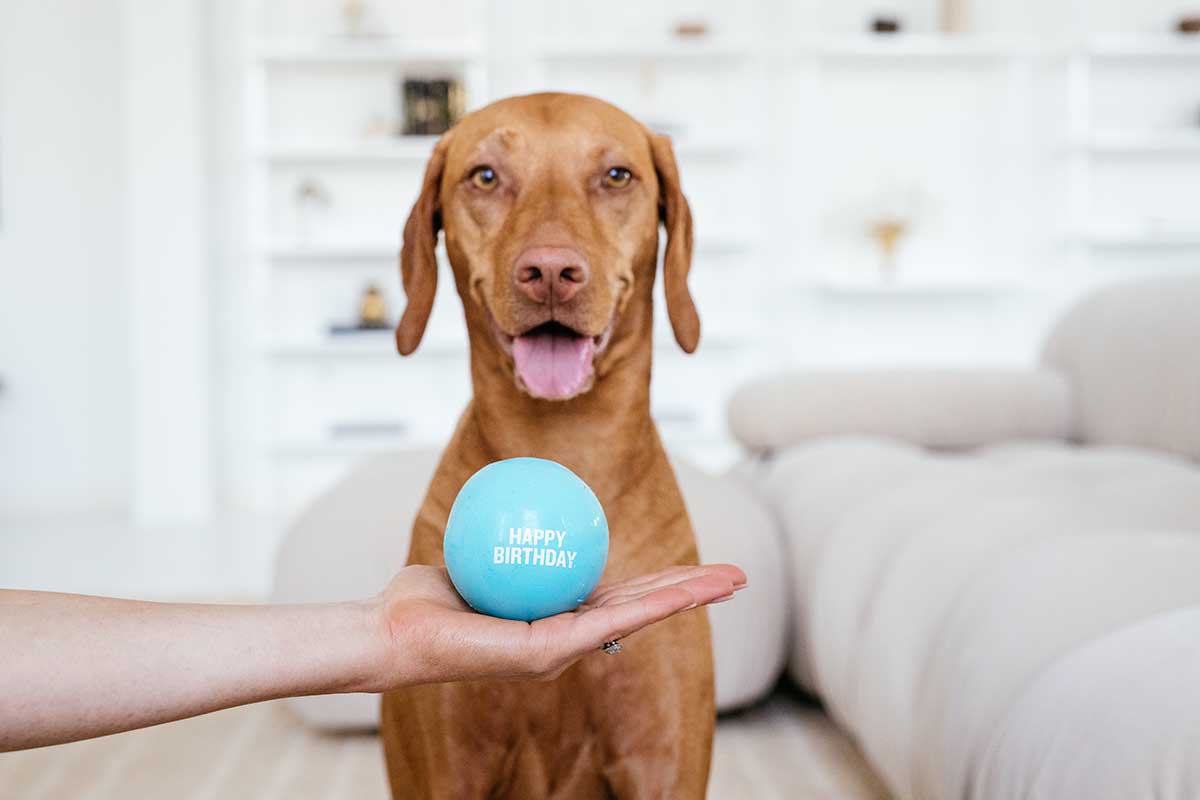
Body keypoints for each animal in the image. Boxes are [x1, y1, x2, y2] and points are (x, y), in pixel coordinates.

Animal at [379, 90, 710, 796]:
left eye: (617, 175)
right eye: (484, 176)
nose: (551, 271)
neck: (564, 440)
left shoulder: (662, 763)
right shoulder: (449, 770)